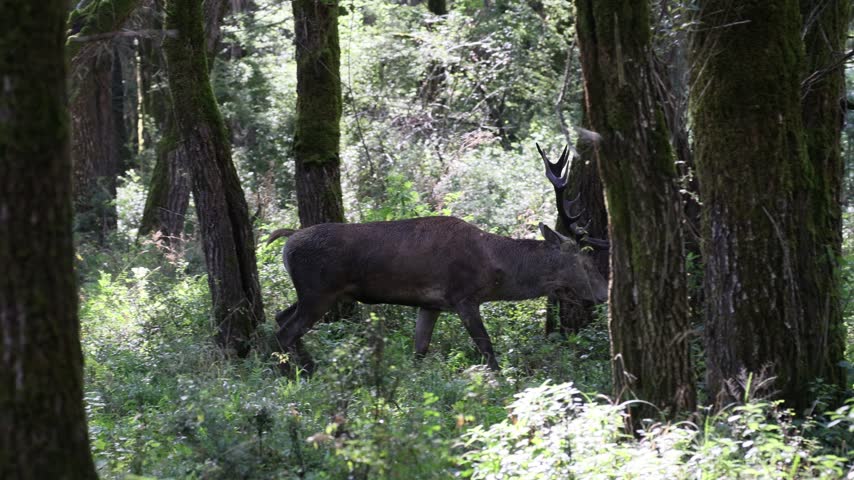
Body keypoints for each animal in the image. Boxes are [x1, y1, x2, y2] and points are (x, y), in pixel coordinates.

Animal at [266, 144, 609, 373]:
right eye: (586, 261)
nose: (604, 293)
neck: (495, 267)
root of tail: (287, 241)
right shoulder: (463, 296)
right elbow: (488, 350)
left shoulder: (430, 304)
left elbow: (420, 351)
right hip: (318, 290)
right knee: (286, 330)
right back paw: (299, 374)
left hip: (314, 293)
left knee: (280, 317)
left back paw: (303, 368)